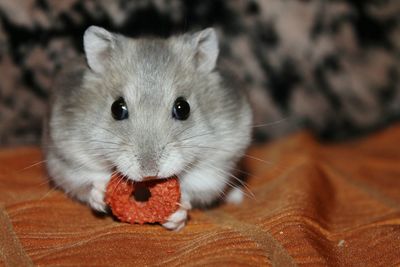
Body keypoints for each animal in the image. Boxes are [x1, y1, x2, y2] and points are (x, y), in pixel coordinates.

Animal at [43, 26, 253, 231]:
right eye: (117, 108)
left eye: (183, 108)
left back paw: (236, 196)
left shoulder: (215, 166)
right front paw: (101, 193)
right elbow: (87, 179)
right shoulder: (68, 159)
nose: (150, 173)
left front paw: (177, 214)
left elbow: (193, 189)